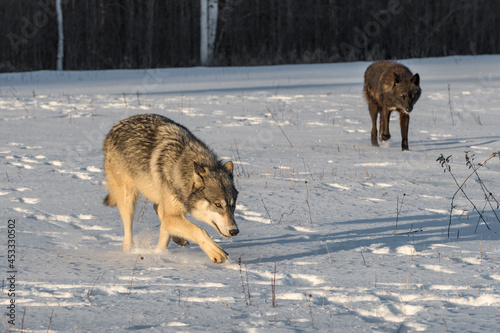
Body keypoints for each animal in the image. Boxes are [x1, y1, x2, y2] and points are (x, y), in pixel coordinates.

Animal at [101, 113, 238, 262]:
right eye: (217, 205)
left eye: (232, 205)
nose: (234, 231)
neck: (181, 168)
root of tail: (116, 125)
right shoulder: (171, 215)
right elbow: (199, 229)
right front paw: (215, 252)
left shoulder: (171, 213)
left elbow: (165, 237)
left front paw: (160, 254)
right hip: (128, 200)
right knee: (127, 237)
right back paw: (128, 253)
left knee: (158, 209)